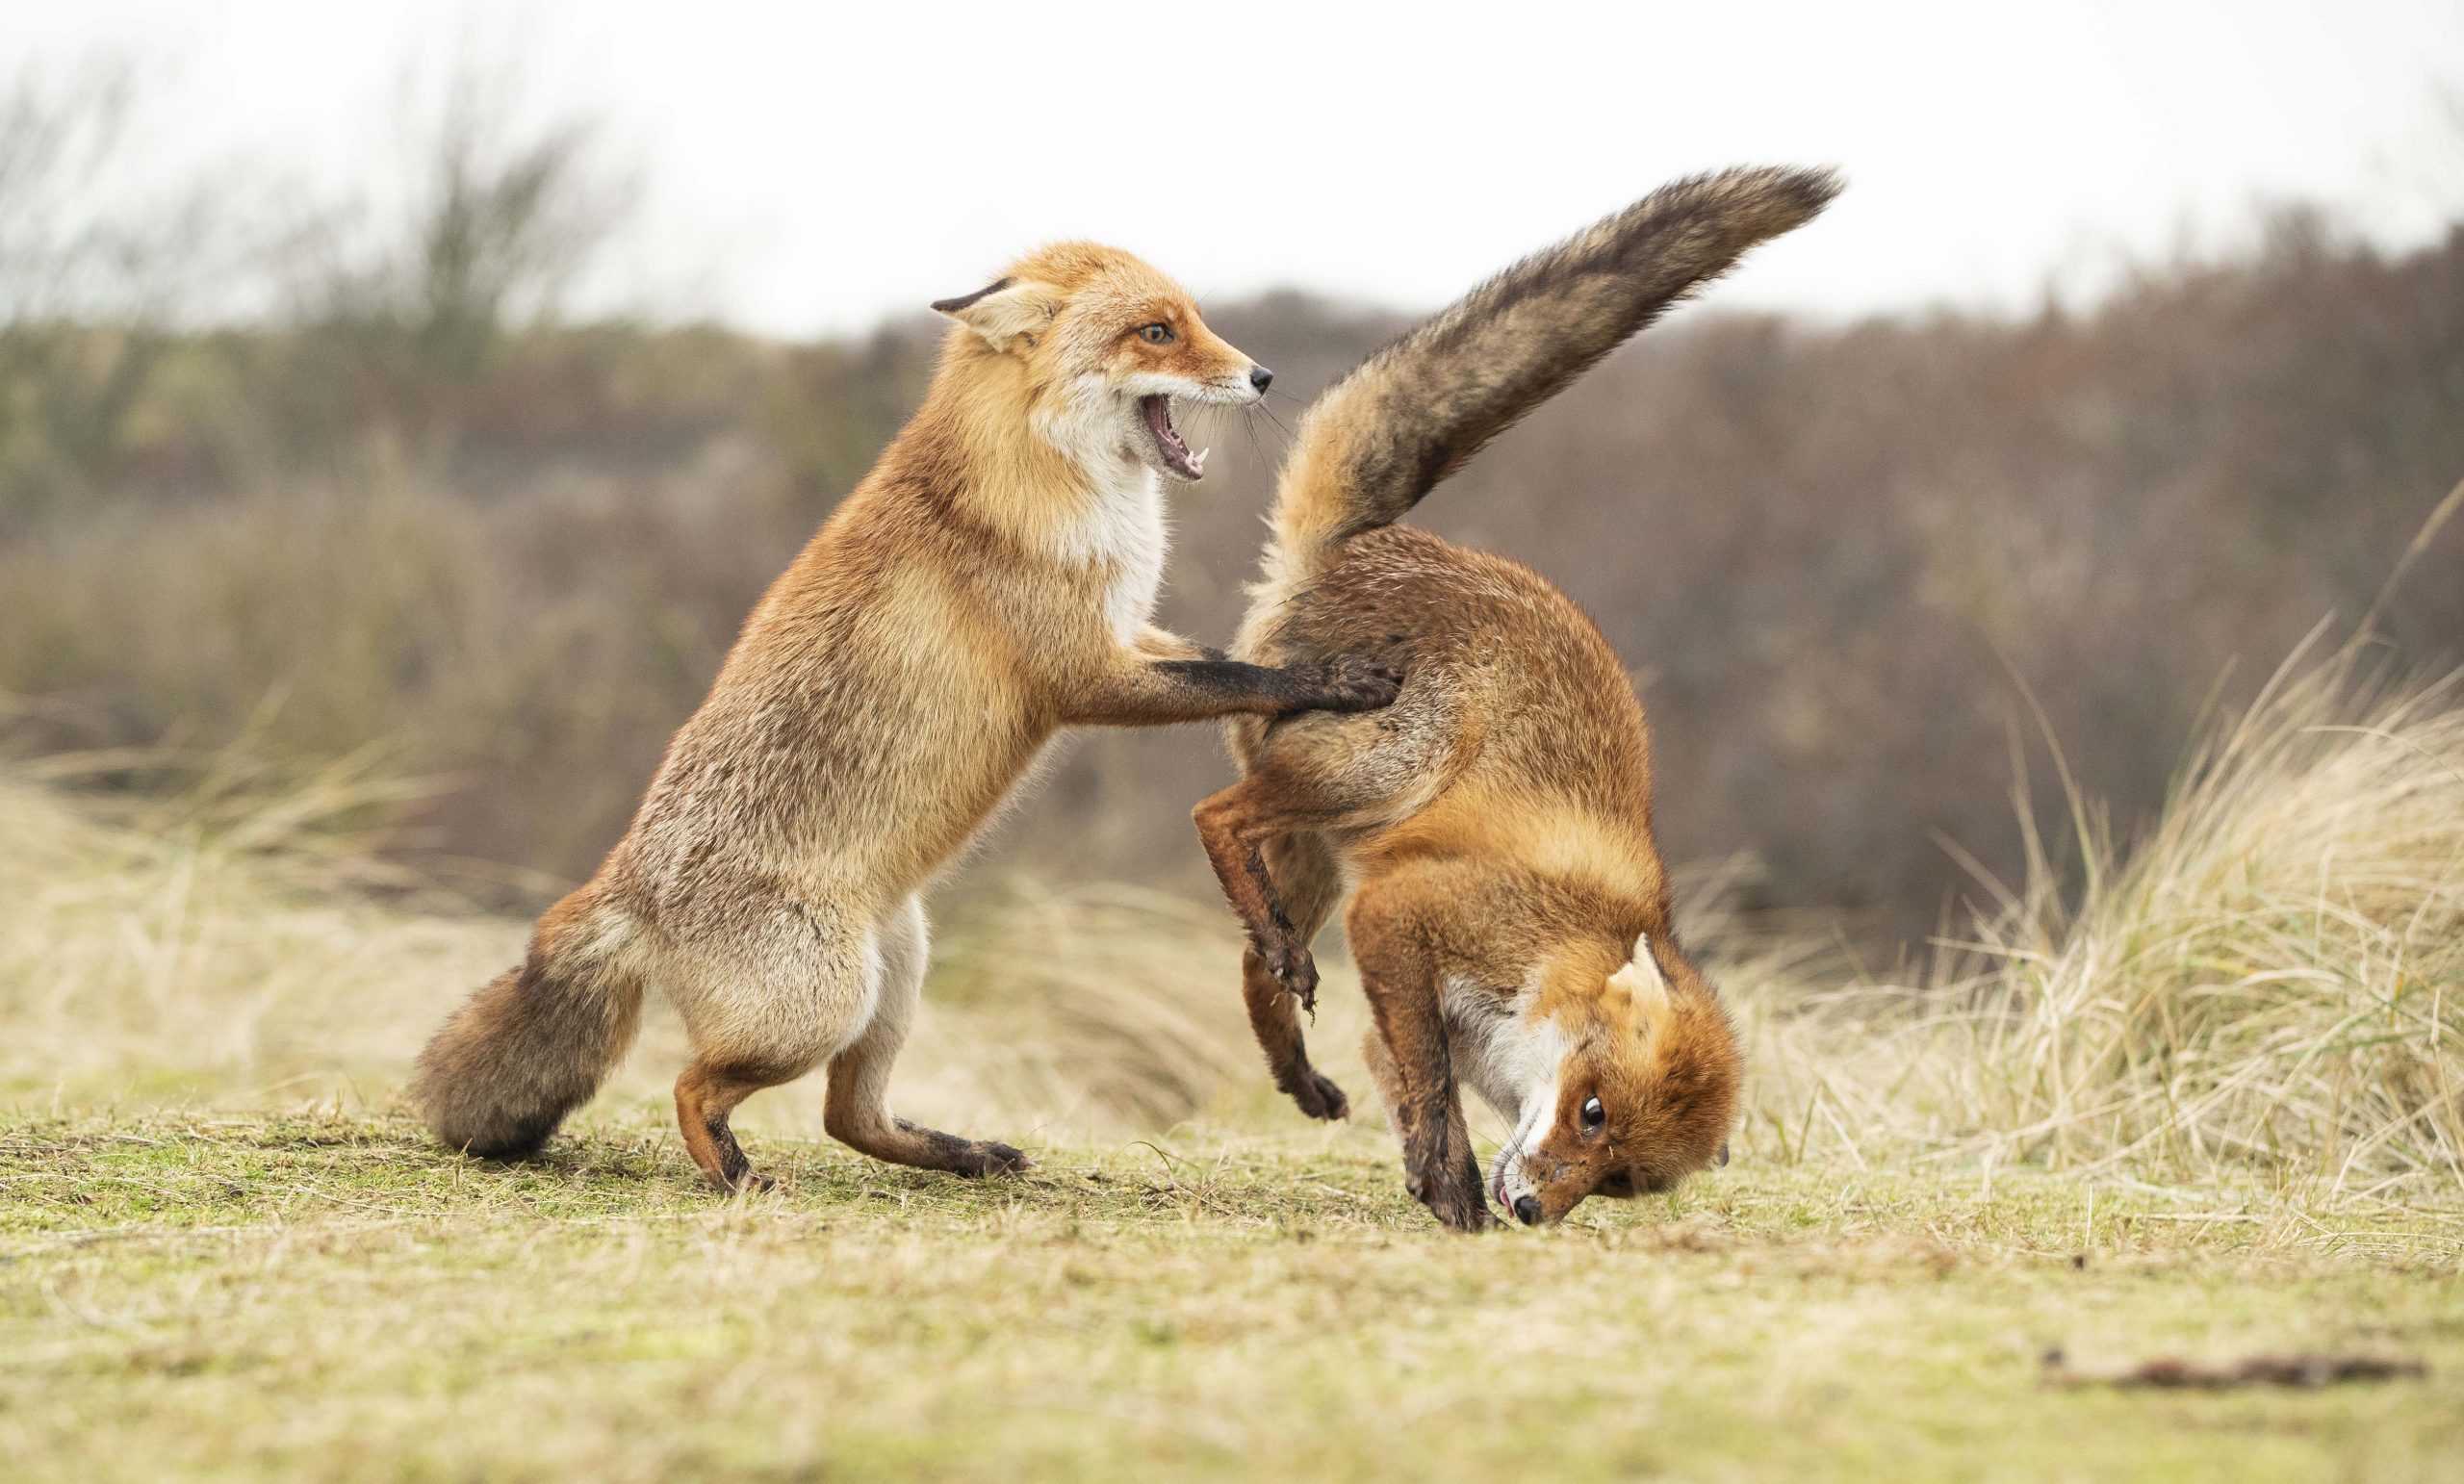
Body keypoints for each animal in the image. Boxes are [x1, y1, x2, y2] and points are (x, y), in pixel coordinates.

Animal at [412, 241, 1400, 1192]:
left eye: (1193, 320)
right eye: (1156, 332)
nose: (1263, 375)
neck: (1051, 485)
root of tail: (624, 885)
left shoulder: (1128, 633)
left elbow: (1219, 658)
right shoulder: (1085, 675)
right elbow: (1239, 676)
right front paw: (1336, 679)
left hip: (897, 973)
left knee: (848, 1118)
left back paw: (966, 1156)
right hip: (818, 1007)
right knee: (693, 1088)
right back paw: (736, 1176)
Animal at [1193, 166, 1841, 1230]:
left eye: (1617, 1178)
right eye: (1590, 1111)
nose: (1536, 1209)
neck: (1560, 950)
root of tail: (1367, 545)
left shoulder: (1392, 983)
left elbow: (1399, 1074)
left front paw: (1431, 1177)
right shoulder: (1401, 916)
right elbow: (1427, 1077)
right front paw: (1455, 1186)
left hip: (1321, 855)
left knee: (1254, 959)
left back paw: (1296, 1067)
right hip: (1379, 774)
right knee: (1214, 817)